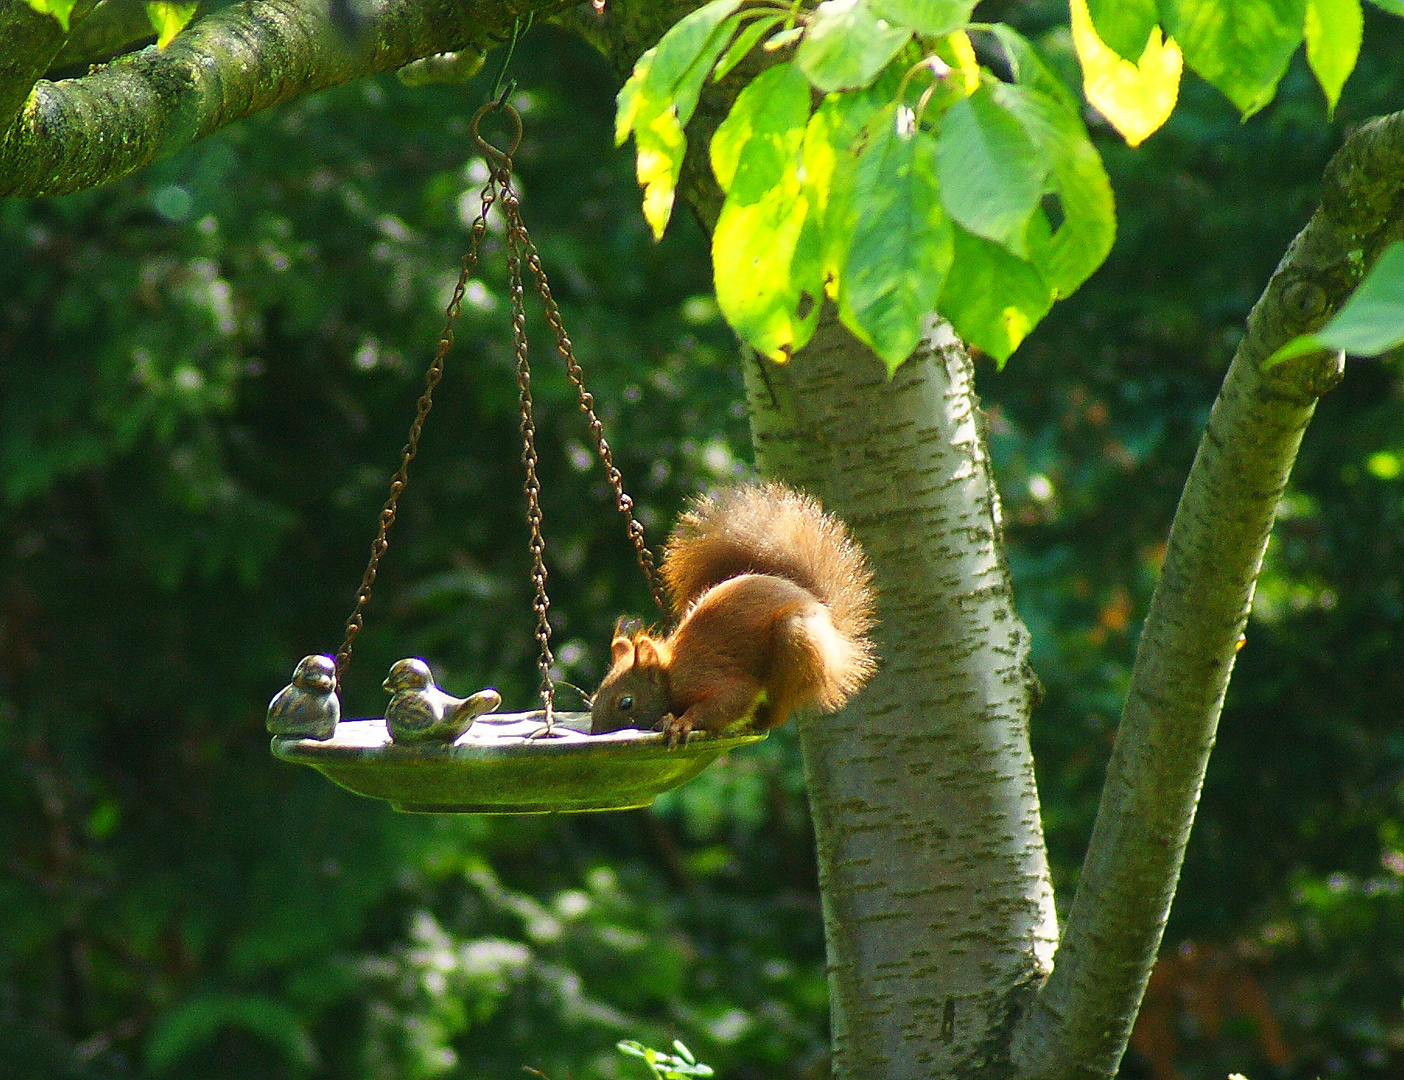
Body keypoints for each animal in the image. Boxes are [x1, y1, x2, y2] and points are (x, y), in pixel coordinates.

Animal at [589, 483, 876, 747]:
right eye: (593, 700)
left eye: (626, 703)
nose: (595, 733)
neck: (670, 674)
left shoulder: (707, 677)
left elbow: (730, 699)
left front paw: (680, 723)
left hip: (795, 640)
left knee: (778, 710)